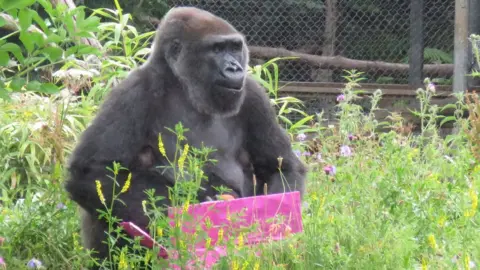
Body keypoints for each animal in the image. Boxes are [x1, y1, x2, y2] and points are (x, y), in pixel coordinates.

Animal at [63, 6, 306, 268]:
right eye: (216, 49)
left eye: (234, 48)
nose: (234, 68)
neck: (182, 85)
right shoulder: (133, 90)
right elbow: (94, 172)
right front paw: (185, 220)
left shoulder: (253, 95)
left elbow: (281, 168)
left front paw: (278, 228)